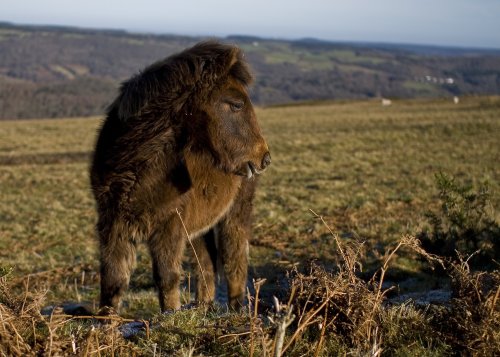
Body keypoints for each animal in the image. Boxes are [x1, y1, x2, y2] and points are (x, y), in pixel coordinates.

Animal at [90, 41, 270, 310]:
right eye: (236, 104)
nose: (264, 158)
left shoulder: (169, 225)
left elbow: (167, 278)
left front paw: (170, 316)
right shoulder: (113, 223)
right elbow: (113, 282)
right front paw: (104, 322)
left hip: (235, 212)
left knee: (234, 260)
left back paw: (238, 311)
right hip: (199, 225)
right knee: (206, 265)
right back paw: (204, 308)